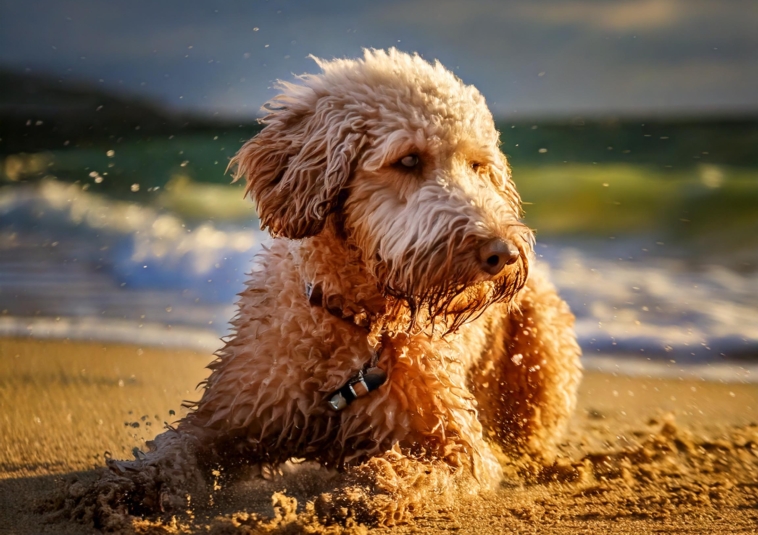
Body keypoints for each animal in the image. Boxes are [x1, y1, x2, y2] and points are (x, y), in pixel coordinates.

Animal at [71, 49, 580, 528]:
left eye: (477, 166)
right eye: (408, 159)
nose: (502, 253)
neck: (357, 320)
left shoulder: (456, 445)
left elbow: (419, 471)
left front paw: (365, 492)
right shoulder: (229, 414)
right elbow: (177, 447)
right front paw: (130, 484)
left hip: (540, 356)